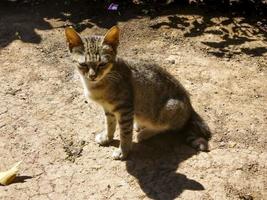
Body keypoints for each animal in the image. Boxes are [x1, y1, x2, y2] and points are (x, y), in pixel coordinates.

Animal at [65, 25, 211, 160]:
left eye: (102, 64)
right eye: (83, 64)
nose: (92, 76)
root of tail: (190, 107)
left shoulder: (125, 109)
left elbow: (125, 133)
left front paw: (123, 151)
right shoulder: (108, 109)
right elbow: (110, 124)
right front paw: (107, 137)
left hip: (169, 107)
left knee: (165, 127)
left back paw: (144, 133)